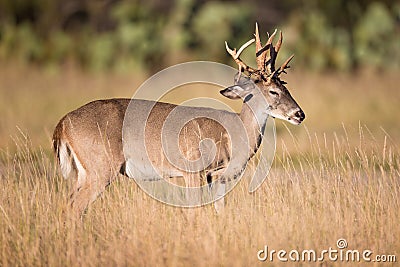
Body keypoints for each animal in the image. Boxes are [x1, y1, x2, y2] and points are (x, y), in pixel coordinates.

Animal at [52, 24, 304, 218]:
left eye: (286, 87)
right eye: (273, 91)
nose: (299, 114)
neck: (233, 134)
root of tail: (62, 124)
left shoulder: (216, 177)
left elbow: (219, 211)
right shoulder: (193, 169)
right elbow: (194, 211)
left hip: (85, 171)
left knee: (67, 205)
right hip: (101, 166)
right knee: (75, 208)